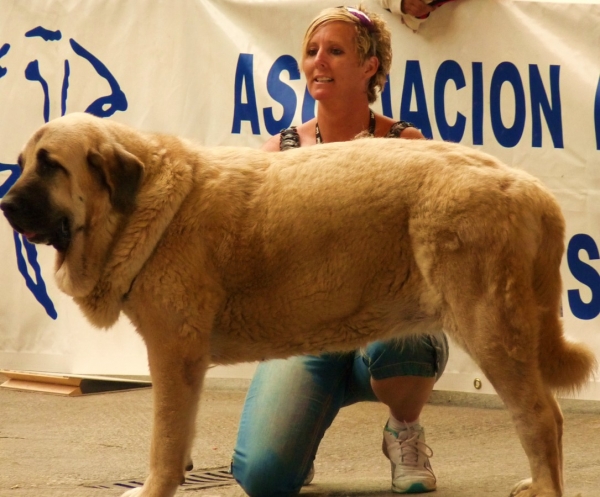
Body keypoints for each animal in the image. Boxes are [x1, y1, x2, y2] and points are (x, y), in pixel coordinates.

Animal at [1, 113, 596, 496]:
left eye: (51, 165)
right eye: (24, 162)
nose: (4, 204)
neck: (143, 204)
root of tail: (529, 186)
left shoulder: (173, 355)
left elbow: (164, 445)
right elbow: (177, 438)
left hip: (491, 331)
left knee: (540, 418)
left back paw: (544, 486)